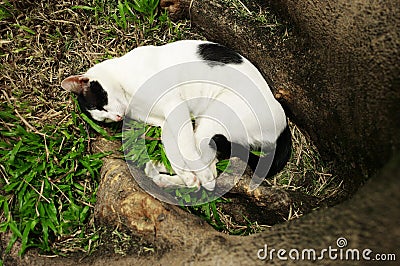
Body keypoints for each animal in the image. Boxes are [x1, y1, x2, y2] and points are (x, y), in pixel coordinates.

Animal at [61, 39, 290, 191]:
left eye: (101, 103)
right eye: (103, 118)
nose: (116, 118)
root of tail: (283, 125)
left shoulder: (175, 106)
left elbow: (185, 148)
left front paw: (196, 176)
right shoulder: (165, 122)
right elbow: (174, 148)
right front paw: (188, 176)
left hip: (216, 117)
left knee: (206, 165)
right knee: (210, 162)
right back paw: (162, 173)